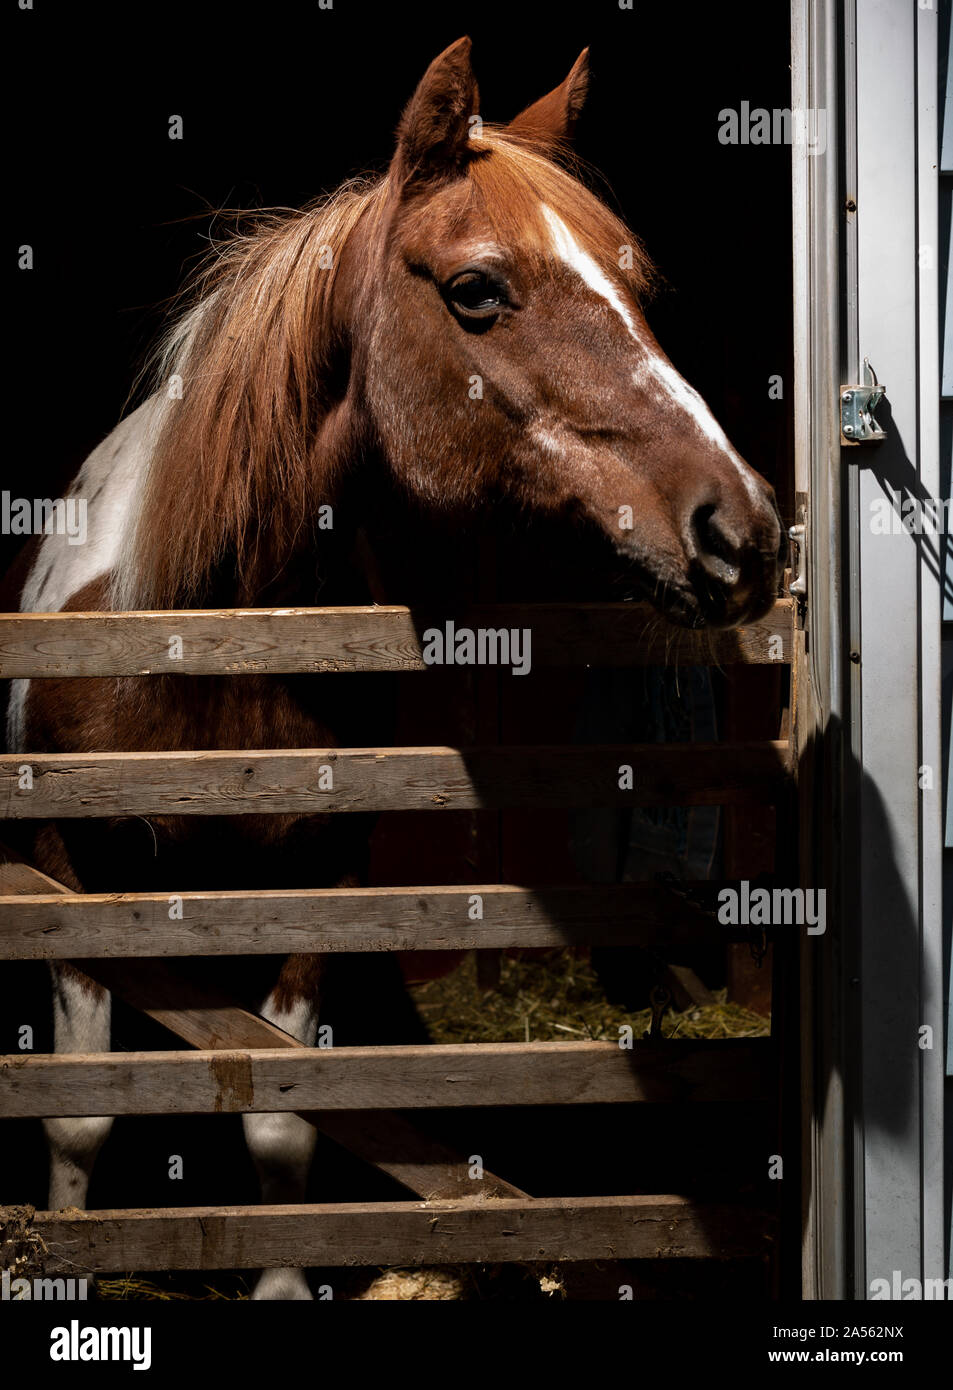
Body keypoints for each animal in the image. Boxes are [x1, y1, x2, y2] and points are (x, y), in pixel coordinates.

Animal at [5, 38, 785, 1299]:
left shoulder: (317, 875)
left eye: (635, 285)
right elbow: (78, 1115)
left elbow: (283, 1115)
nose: (743, 531)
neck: (198, 643)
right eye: (475, 290)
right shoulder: (68, 874)